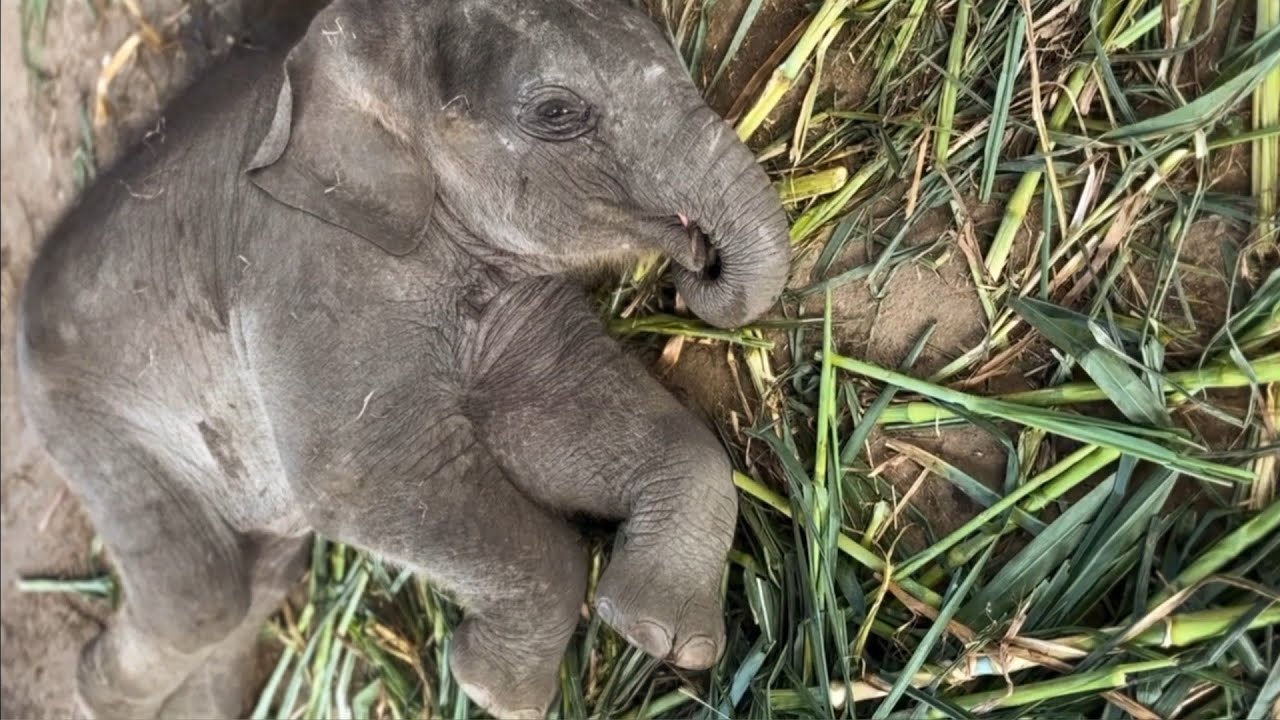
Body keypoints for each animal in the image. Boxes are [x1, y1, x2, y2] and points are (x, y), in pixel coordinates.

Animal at [16, 0, 790, 717]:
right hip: (85, 421)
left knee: (257, 582)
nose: (694, 264)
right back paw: (96, 693)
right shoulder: (305, 269)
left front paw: (663, 639)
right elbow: (368, 477)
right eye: (557, 112)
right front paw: (493, 694)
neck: (363, 53)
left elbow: (562, 407)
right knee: (200, 598)